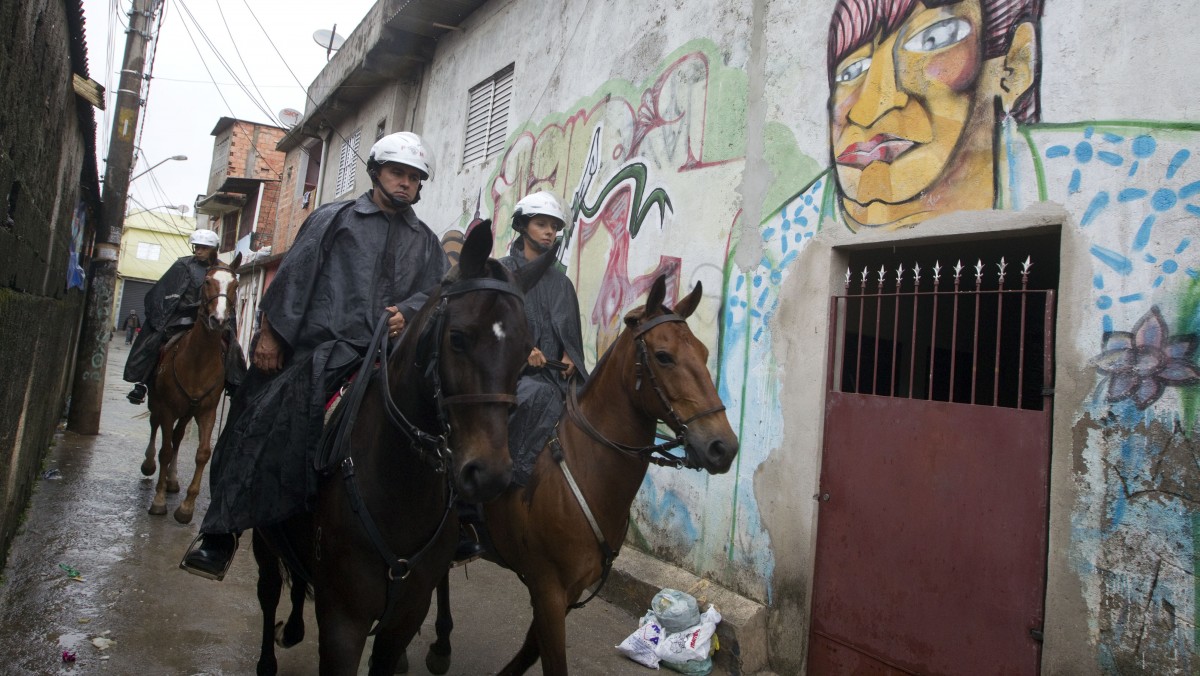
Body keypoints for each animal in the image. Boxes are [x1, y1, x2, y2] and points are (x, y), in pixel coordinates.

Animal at [140, 254, 241, 523]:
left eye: (235, 285)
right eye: (207, 282)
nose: (219, 320)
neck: (197, 362)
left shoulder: (206, 412)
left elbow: (202, 453)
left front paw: (186, 507)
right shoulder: (167, 408)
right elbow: (165, 450)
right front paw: (159, 501)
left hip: (187, 412)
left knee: (177, 436)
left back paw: (173, 480)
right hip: (157, 402)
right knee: (155, 427)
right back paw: (149, 465)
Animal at [253, 224, 552, 672]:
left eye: (524, 352)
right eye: (458, 338)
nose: (489, 474)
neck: (398, 486)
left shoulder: (405, 617)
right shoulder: (343, 620)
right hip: (261, 537)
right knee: (269, 589)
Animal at [422, 274, 739, 676]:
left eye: (704, 353)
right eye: (664, 356)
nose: (722, 447)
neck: (587, 470)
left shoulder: (568, 591)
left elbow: (531, 649)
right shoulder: (548, 589)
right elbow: (550, 657)